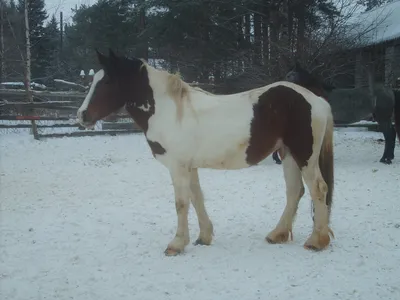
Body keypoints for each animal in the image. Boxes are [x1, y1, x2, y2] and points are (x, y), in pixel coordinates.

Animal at [76, 49, 336, 255]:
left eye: (106, 82)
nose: (82, 115)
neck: (171, 112)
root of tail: (316, 100)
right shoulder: (189, 166)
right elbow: (196, 198)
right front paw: (203, 237)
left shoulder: (178, 167)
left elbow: (181, 203)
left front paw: (176, 244)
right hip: (288, 154)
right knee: (295, 191)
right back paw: (277, 234)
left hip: (305, 156)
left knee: (318, 189)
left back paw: (316, 241)